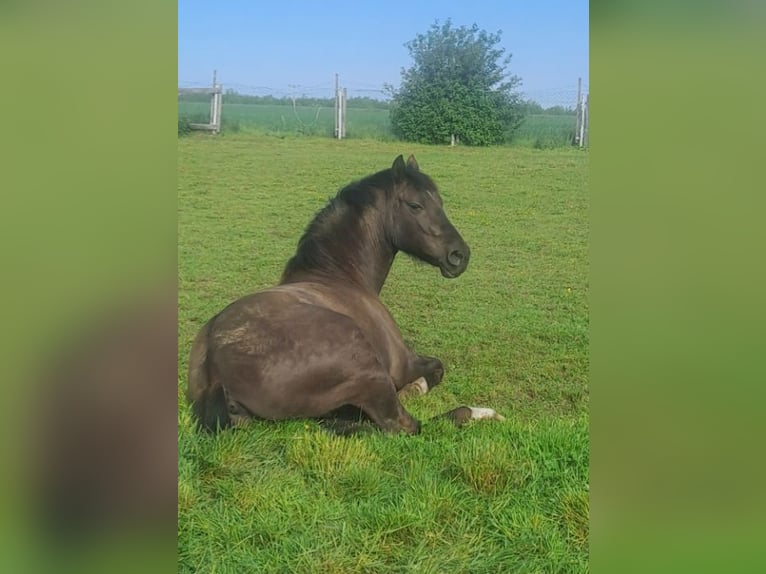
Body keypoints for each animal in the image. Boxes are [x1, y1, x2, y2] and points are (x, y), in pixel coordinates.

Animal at [186, 155, 504, 434]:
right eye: (415, 205)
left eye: (439, 202)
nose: (459, 256)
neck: (341, 277)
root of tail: (215, 368)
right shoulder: (404, 362)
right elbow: (437, 369)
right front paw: (414, 388)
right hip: (369, 369)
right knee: (408, 426)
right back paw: (482, 413)